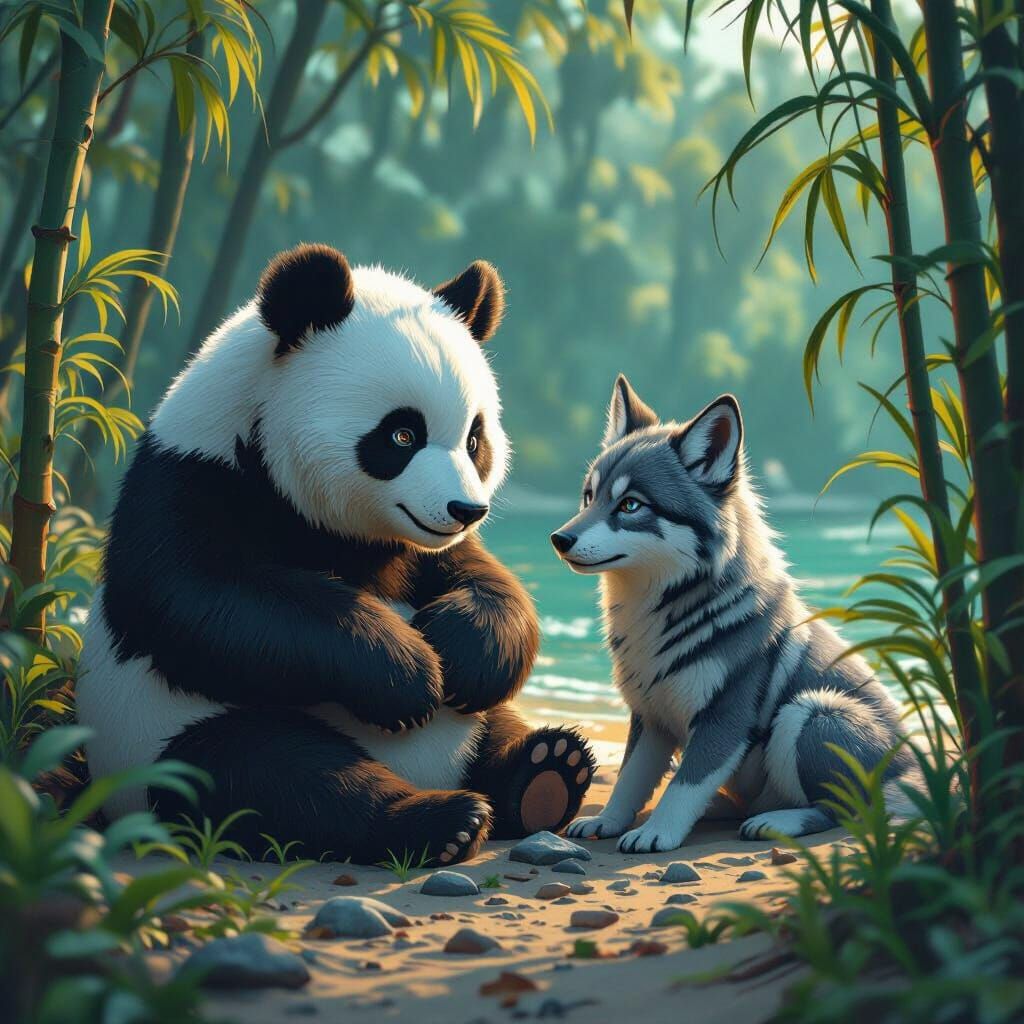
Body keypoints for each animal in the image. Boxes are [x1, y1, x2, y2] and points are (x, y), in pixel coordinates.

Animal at [76, 243, 595, 865]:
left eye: (475, 439)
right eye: (401, 435)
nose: (465, 508)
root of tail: (436, 773)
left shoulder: (420, 547)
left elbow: (487, 579)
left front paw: (461, 654)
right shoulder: (191, 480)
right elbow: (205, 598)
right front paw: (407, 676)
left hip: (473, 729)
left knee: (494, 729)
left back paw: (546, 770)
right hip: (166, 738)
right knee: (276, 777)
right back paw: (442, 819)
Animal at [550, 375, 914, 853]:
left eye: (630, 505)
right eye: (588, 497)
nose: (559, 538)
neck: (661, 610)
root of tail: (912, 774)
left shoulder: (725, 717)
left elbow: (684, 786)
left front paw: (656, 833)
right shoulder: (650, 716)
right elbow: (630, 778)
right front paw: (608, 820)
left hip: (811, 711)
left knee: (841, 811)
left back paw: (777, 821)